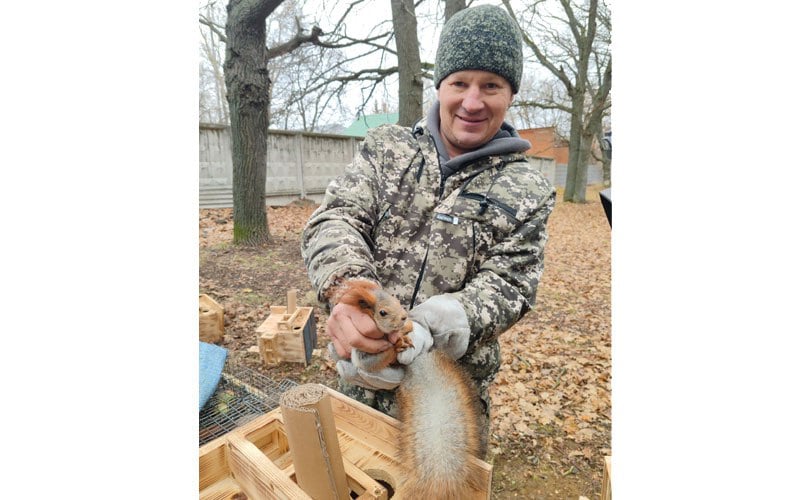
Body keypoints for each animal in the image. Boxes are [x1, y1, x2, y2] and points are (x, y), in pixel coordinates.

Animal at [326, 280, 488, 498]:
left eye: (396, 301)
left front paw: (408, 330)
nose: (403, 316)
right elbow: (375, 358)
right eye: (383, 312)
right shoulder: (362, 353)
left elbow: (409, 330)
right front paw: (395, 345)